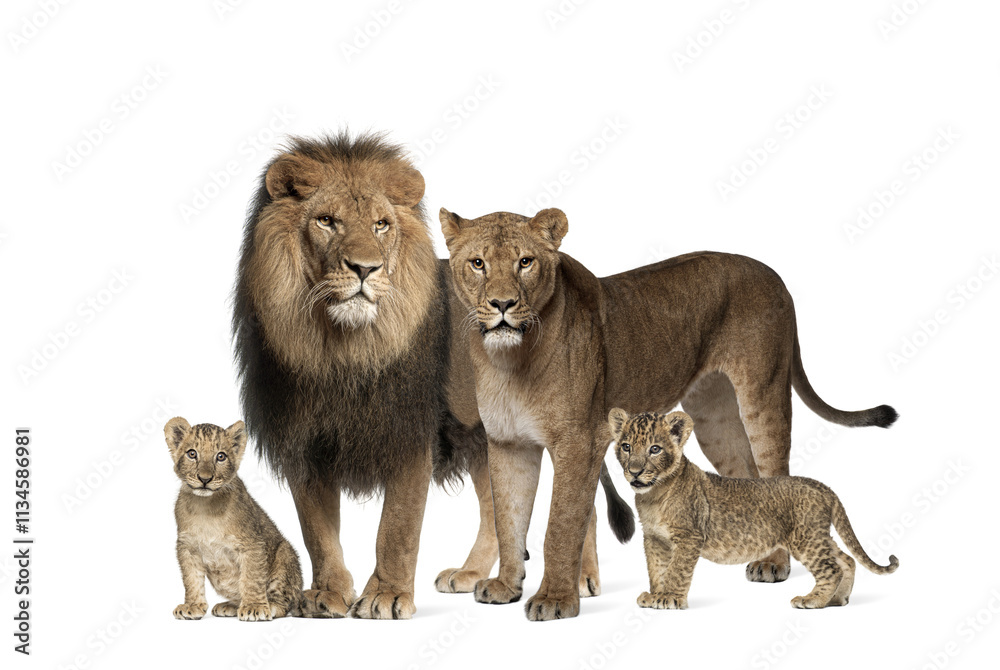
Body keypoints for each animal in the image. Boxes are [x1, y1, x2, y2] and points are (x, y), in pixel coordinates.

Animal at [232, 133, 633, 619]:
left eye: (382, 225)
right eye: (326, 221)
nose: (365, 268)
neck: (341, 350)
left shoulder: (411, 432)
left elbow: (398, 526)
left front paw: (385, 596)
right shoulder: (304, 442)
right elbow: (317, 532)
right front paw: (329, 593)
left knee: (581, 502)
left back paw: (579, 577)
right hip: (484, 431)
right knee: (495, 508)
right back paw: (475, 575)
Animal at [608, 409, 898, 610]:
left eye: (655, 449)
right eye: (626, 447)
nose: (635, 472)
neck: (653, 495)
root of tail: (821, 486)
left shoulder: (689, 536)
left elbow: (677, 570)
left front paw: (668, 598)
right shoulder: (654, 538)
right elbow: (657, 569)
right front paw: (655, 595)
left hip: (805, 538)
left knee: (832, 567)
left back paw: (812, 601)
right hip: (816, 534)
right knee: (846, 559)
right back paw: (837, 600)